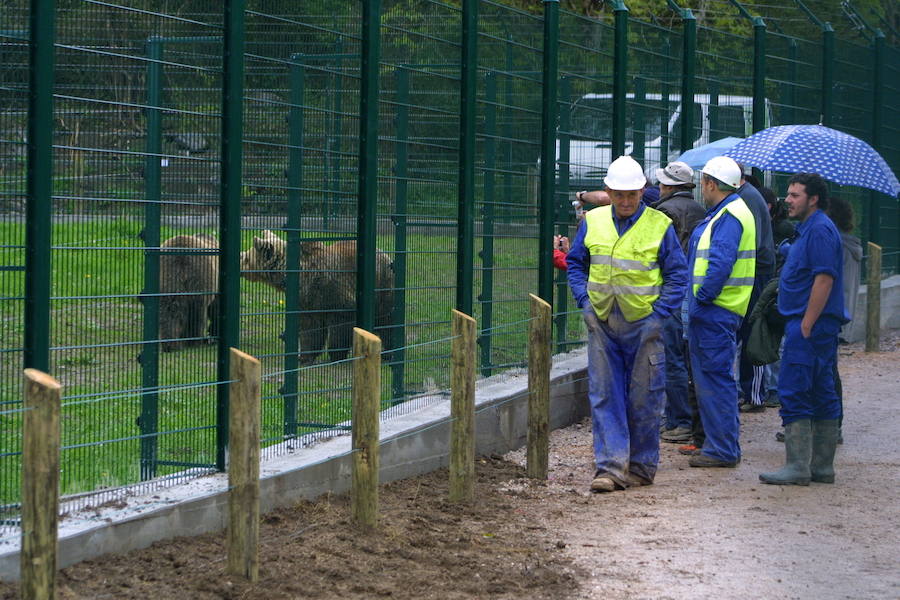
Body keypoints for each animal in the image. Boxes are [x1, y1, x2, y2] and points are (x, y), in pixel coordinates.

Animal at [239, 229, 394, 360]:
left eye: (246, 257)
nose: (240, 261)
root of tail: (385, 254)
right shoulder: (307, 300)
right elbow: (310, 328)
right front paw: (305, 356)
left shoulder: (334, 292)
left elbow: (341, 324)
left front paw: (336, 354)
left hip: (381, 285)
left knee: (385, 319)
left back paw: (388, 352)